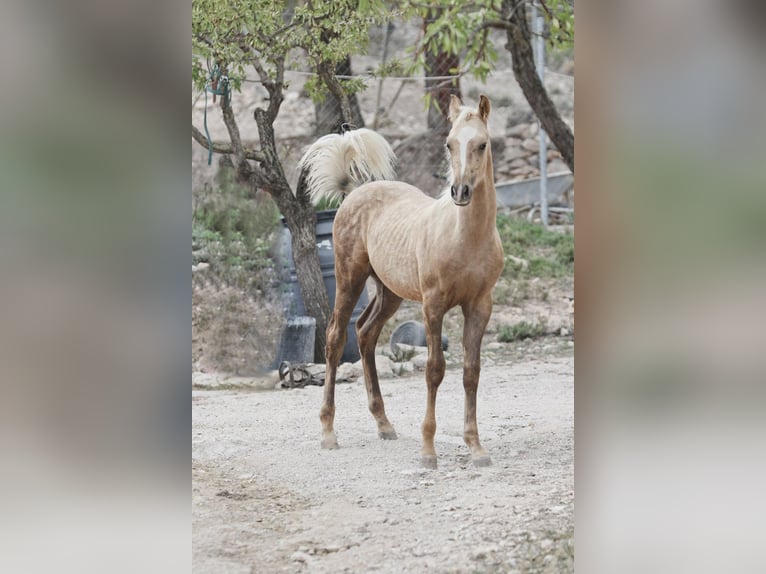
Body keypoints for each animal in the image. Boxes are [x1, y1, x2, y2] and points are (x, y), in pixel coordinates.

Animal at [304, 97, 508, 470]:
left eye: (482, 144)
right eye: (449, 144)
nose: (460, 191)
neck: (464, 237)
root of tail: (354, 192)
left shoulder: (479, 306)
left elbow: (471, 372)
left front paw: (476, 448)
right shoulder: (433, 305)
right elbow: (434, 370)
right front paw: (428, 450)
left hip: (389, 292)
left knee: (366, 333)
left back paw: (384, 423)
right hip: (349, 278)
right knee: (336, 338)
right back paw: (328, 431)